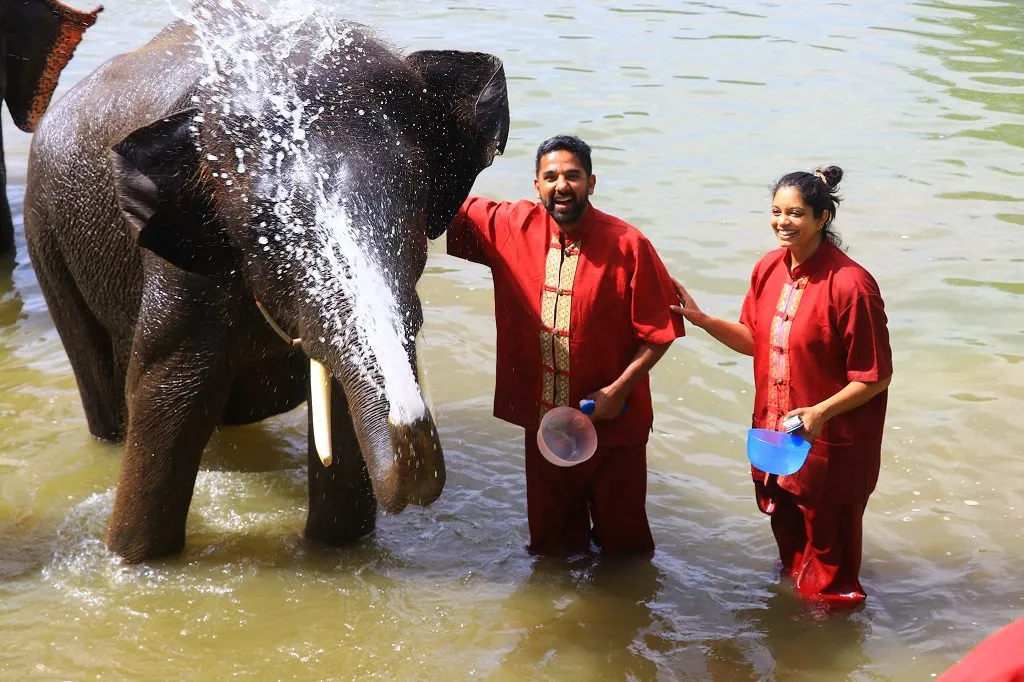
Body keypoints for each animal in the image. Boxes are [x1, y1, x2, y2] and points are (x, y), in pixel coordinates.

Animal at [24, 1, 509, 563]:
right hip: (45, 235)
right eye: (267, 225)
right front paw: (132, 561)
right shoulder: (184, 267)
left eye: (415, 198)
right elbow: (164, 398)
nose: (417, 453)